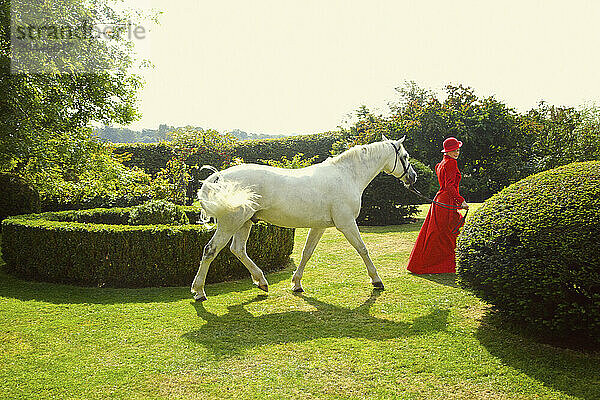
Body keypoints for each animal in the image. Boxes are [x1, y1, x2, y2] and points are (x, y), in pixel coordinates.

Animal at [192, 134, 418, 300]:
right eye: (405, 156)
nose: (413, 177)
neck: (346, 176)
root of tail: (220, 177)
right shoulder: (346, 224)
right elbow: (362, 249)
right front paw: (376, 280)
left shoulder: (319, 226)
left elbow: (306, 253)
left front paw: (297, 284)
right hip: (231, 223)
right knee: (210, 250)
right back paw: (199, 291)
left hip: (245, 222)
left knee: (238, 250)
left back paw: (261, 282)